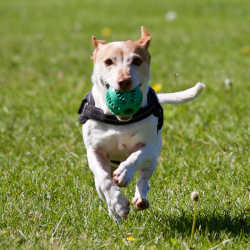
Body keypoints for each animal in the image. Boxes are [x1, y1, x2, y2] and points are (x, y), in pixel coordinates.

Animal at [78, 26, 205, 223]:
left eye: (137, 60)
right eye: (108, 61)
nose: (124, 81)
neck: (119, 121)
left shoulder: (151, 146)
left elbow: (136, 156)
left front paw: (124, 173)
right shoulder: (94, 150)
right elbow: (105, 181)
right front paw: (118, 205)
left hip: (152, 161)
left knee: (144, 179)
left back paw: (140, 198)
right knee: (102, 187)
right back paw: (115, 213)